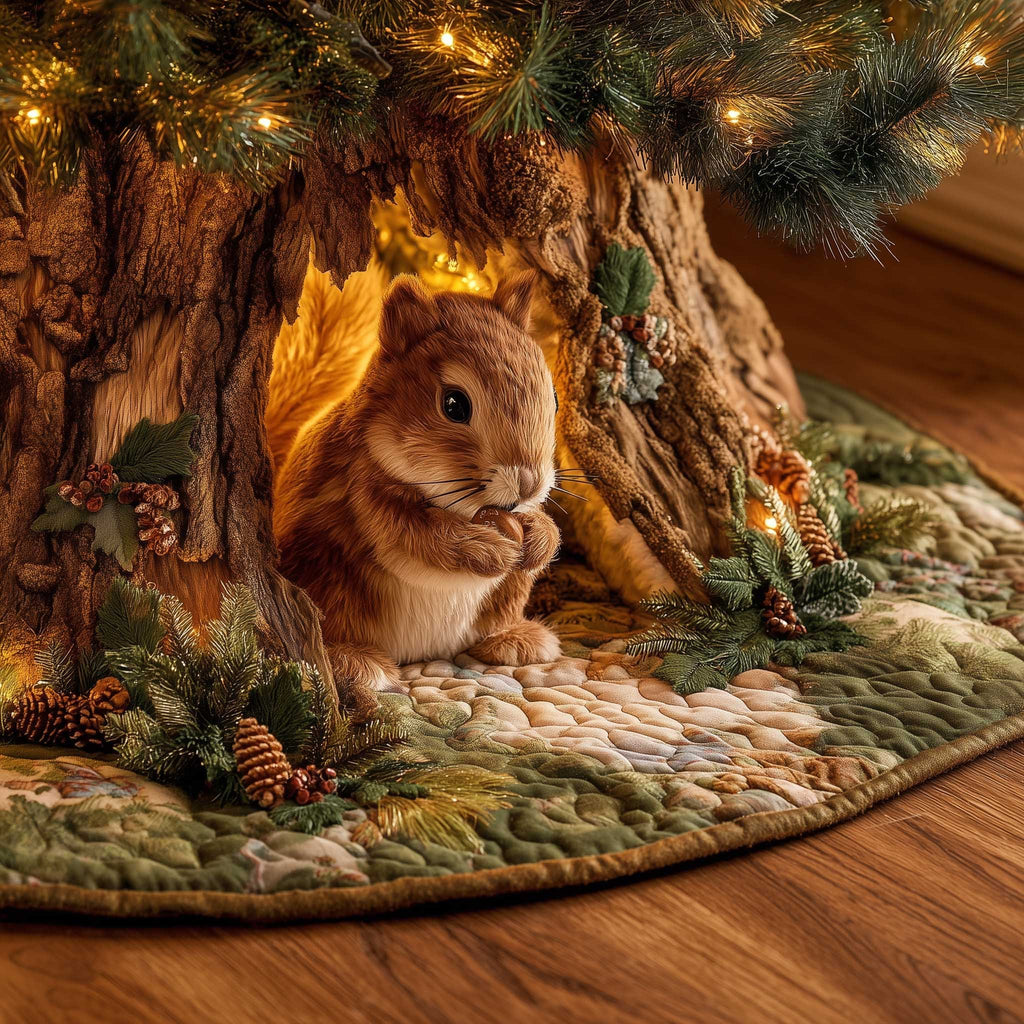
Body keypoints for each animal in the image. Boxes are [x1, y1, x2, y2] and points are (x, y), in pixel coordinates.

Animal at [272, 270, 562, 711]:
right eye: (454, 404)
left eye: (556, 398)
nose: (528, 483)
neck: (460, 507)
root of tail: (424, 653)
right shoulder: (364, 492)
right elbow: (418, 536)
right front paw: (488, 549)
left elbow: (544, 526)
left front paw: (538, 537)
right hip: (327, 575)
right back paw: (357, 662)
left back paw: (514, 640)